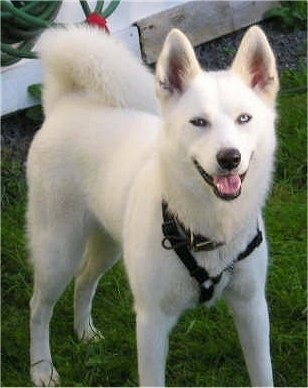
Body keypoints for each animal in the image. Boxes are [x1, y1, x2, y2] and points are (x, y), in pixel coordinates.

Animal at [27, 23, 280, 384]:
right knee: (38, 308)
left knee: (84, 279)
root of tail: (66, 103)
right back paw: (42, 369)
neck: (208, 226)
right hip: (57, 253)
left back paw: (84, 332)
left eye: (244, 118)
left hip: (108, 244)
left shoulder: (253, 308)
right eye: (198, 122)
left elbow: (262, 374)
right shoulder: (151, 322)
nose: (229, 158)